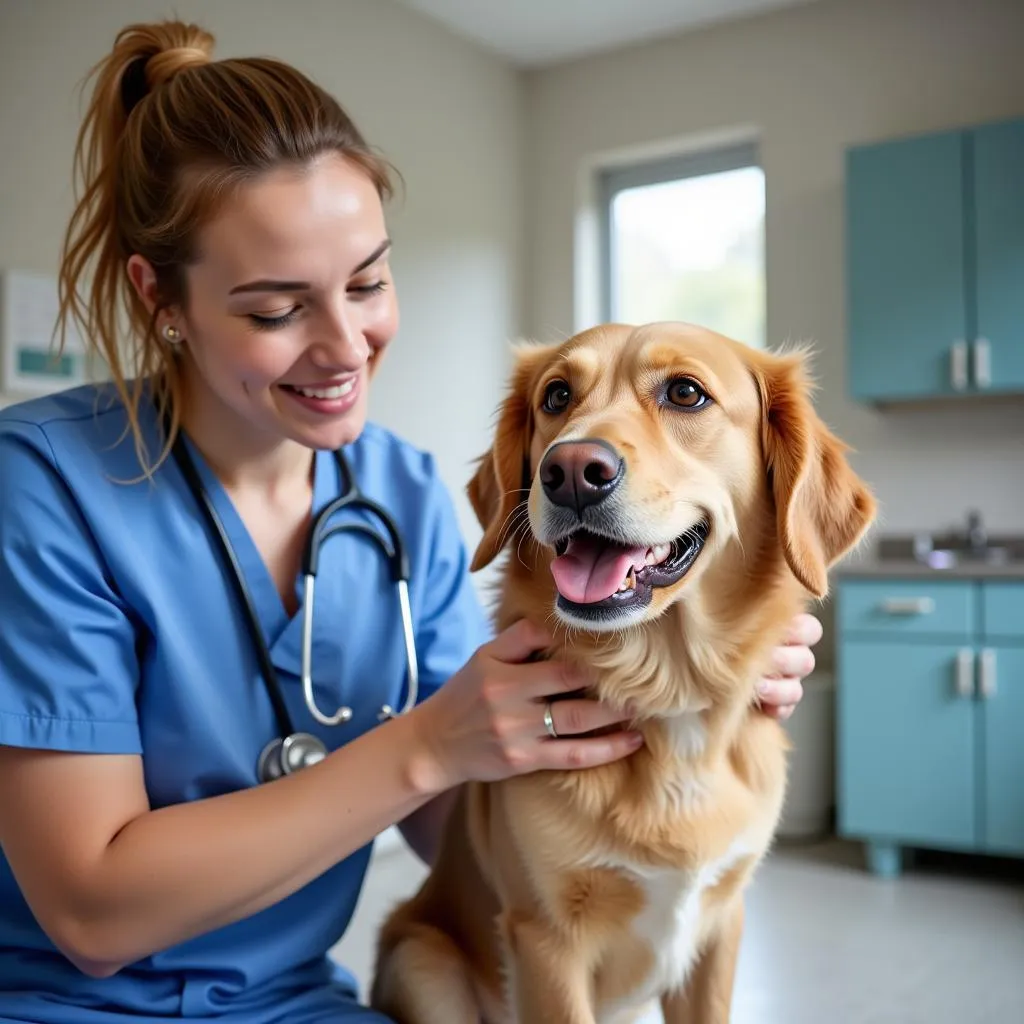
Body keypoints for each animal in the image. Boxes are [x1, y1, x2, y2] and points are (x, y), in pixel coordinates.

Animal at [372, 321, 876, 1024]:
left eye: (686, 393)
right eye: (556, 396)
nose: (570, 473)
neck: (668, 694)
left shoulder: (720, 925)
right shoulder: (545, 941)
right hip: (422, 960)